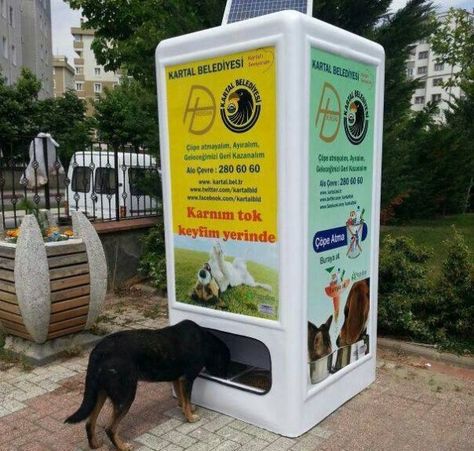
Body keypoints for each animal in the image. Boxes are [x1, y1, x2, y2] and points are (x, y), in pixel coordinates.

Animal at [65, 322, 230, 451]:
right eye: (226, 361)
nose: (227, 376)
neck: (204, 341)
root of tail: (98, 351)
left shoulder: (177, 379)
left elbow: (182, 399)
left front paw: (185, 409)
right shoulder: (187, 379)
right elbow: (187, 398)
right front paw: (190, 417)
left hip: (101, 393)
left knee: (89, 422)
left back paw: (95, 445)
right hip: (126, 395)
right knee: (110, 428)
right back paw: (122, 447)